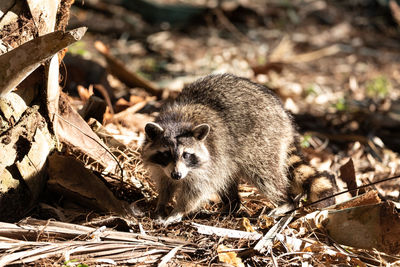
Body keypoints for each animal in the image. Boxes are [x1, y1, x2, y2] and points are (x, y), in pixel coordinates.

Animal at [141, 74, 334, 226]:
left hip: (263, 142)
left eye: (187, 155)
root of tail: (284, 116)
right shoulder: (162, 167)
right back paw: (232, 205)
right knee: (227, 178)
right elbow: (165, 185)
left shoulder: (209, 162)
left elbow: (196, 191)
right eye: (165, 154)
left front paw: (178, 211)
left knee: (266, 176)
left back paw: (285, 201)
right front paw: (161, 204)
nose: (177, 175)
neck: (178, 121)